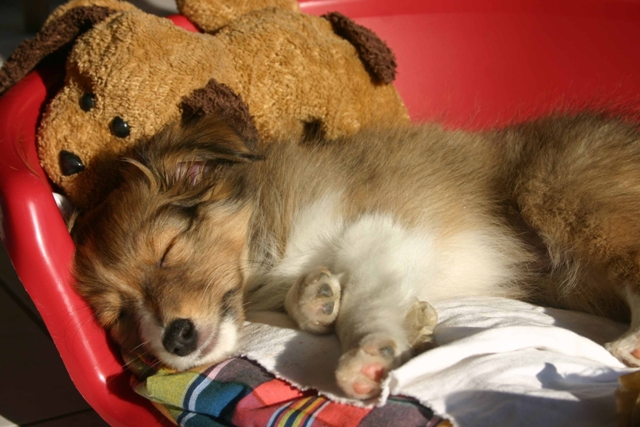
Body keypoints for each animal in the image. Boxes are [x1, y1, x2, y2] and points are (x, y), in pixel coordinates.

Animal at [72, 113, 640, 402]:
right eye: (118, 315)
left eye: (167, 252)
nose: (177, 339)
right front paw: (324, 300)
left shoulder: (379, 230)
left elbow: (364, 303)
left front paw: (366, 355)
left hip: (559, 188)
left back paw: (629, 343)